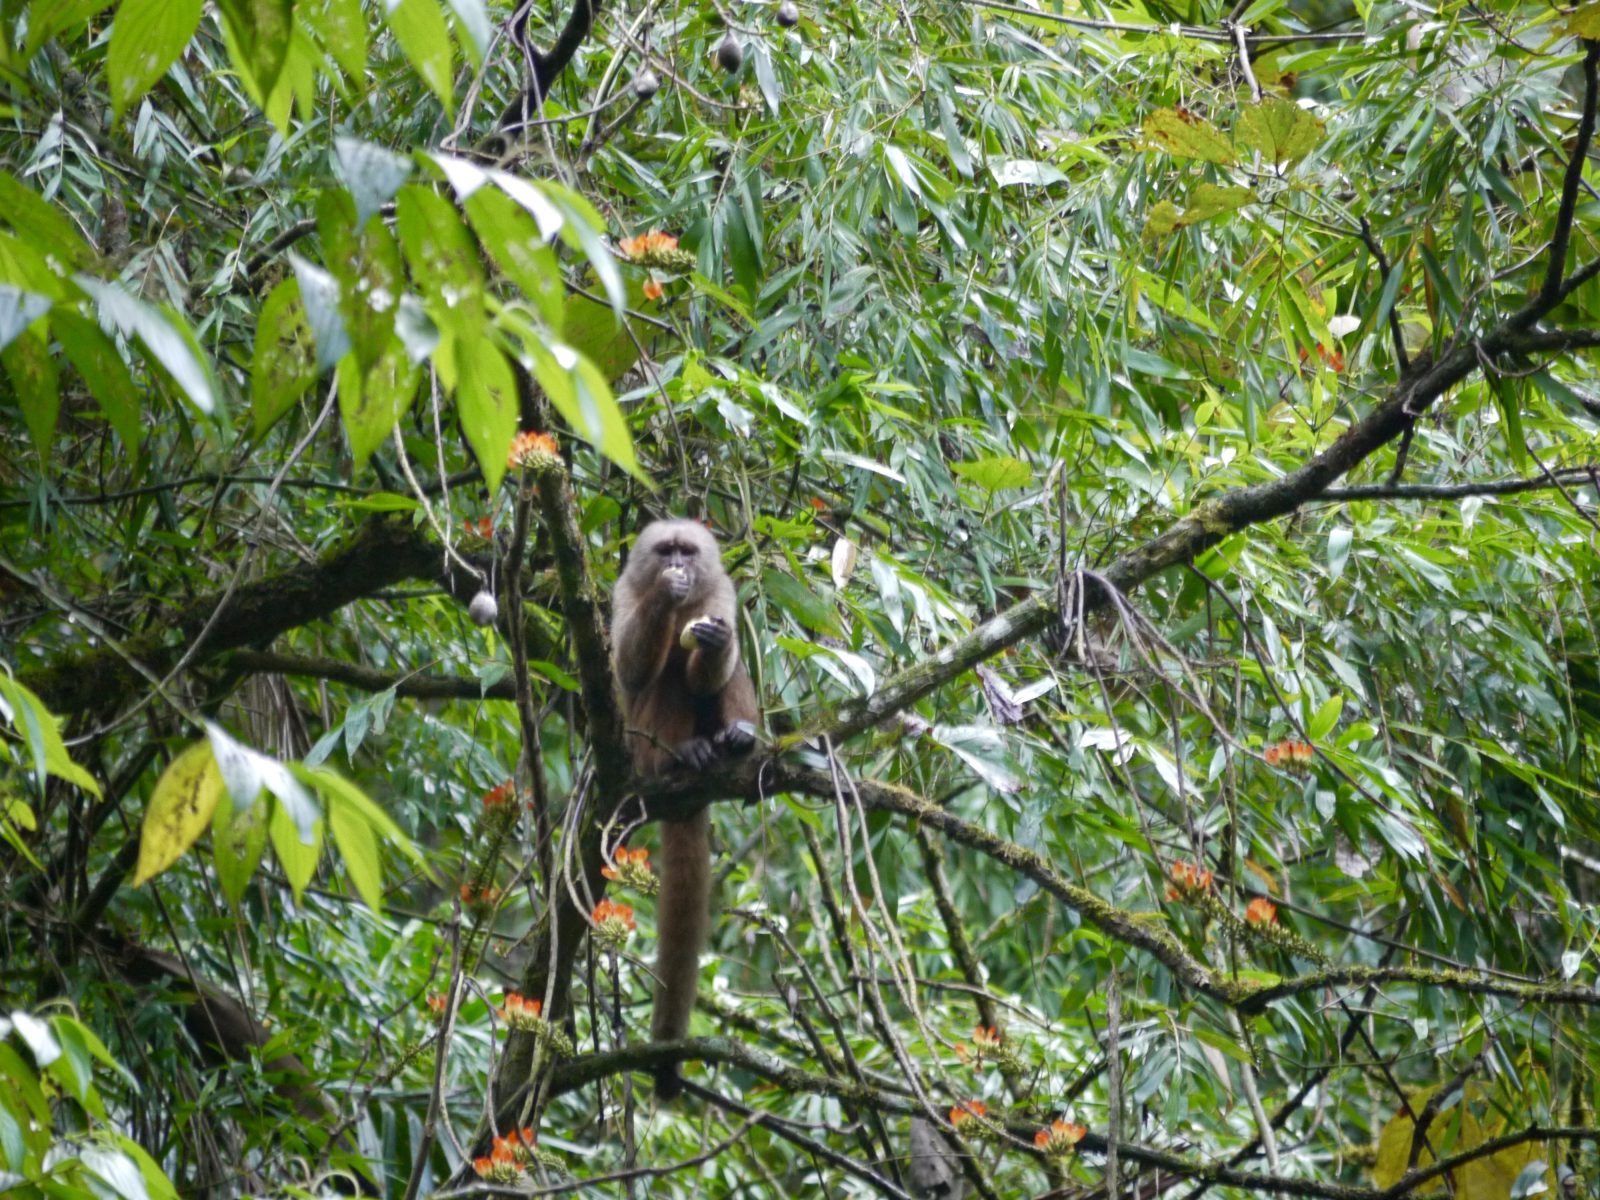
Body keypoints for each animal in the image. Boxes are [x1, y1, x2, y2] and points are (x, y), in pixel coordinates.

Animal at [610, 519, 757, 1097]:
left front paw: (716, 644)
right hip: (640, 747)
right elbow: (631, 671)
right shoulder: (623, 589)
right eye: (667, 551)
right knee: (665, 674)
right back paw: (681, 758)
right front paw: (663, 595)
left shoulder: (721, 594)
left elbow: (711, 668)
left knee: (720, 672)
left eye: (688, 551)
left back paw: (736, 740)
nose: (678, 566)